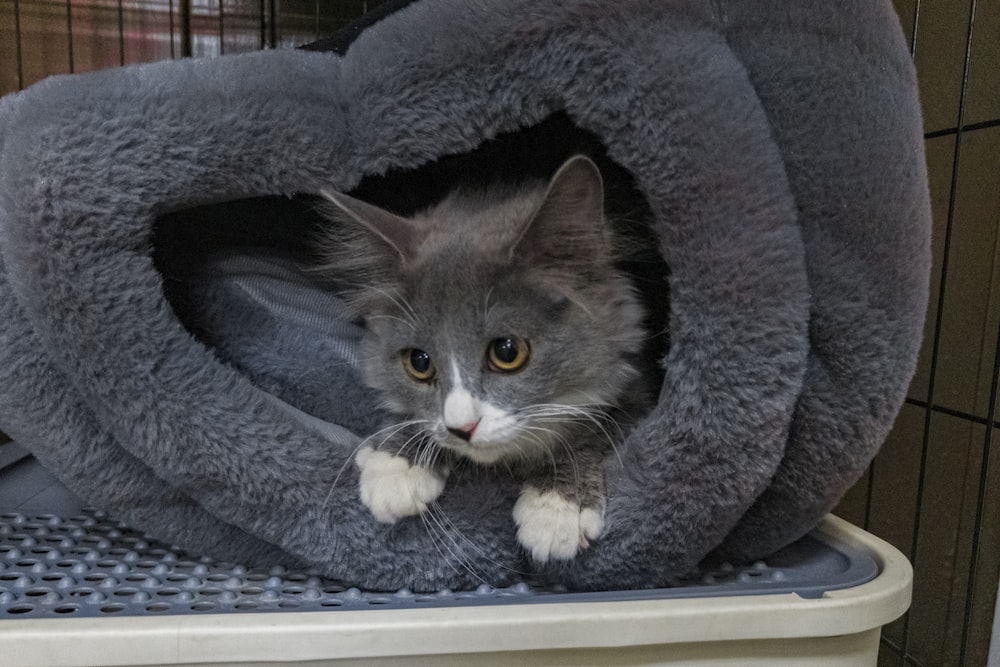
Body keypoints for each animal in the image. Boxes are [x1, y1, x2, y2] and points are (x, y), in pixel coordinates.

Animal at [316, 155, 652, 564]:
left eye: (507, 352)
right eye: (419, 362)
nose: (462, 428)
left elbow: (599, 425)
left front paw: (556, 509)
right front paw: (395, 467)